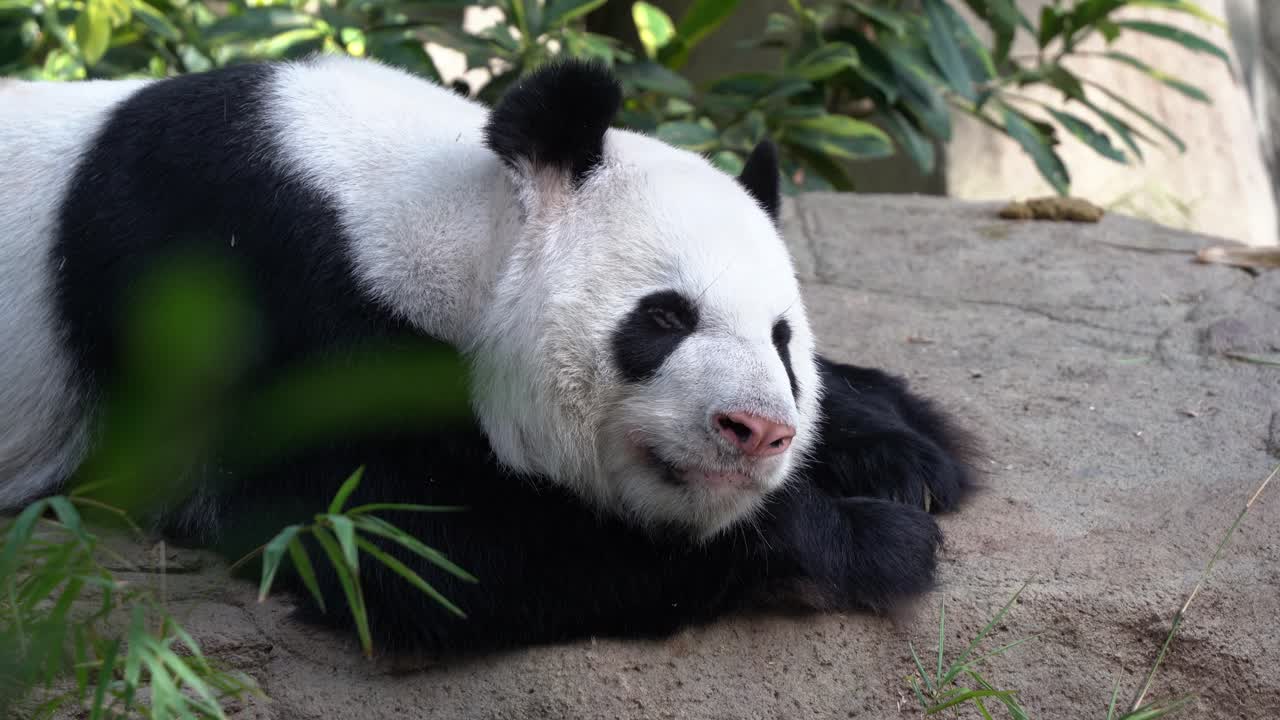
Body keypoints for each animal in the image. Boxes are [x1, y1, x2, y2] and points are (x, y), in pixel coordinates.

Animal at [0, 56, 977, 653]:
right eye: (663, 319)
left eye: (782, 341)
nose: (758, 432)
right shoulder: (238, 285)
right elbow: (414, 544)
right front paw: (872, 538)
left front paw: (904, 449)